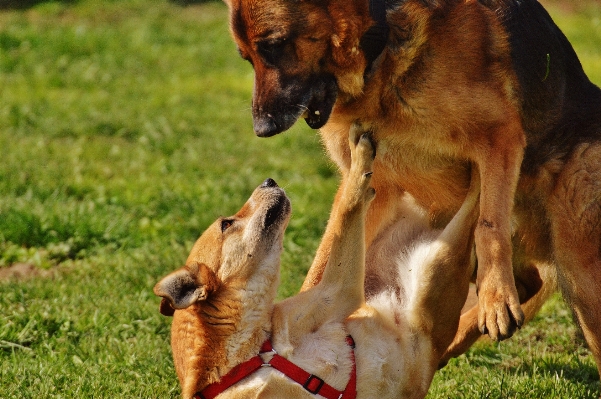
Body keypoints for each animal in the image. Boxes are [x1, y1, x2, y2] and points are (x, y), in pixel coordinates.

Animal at [156, 126, 482, 398]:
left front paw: (358, 168)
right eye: (226, 223)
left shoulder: (332, 296)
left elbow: (346, 213)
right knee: (473, 195)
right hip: (436, 264)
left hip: (434, 259)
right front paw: (359, 173)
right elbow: (349, 209)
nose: (268, 180)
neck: (254, 354)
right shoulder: (340, 291)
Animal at [224, 0, 600, 382]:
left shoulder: (501, 137)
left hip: (582, 269)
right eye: (246, 57)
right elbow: (324, 266)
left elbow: (490, 225)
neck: (379, 52)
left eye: (274, 45)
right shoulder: (367, 186)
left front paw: (496, 297)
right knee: (529, 281)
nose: (262, 129)